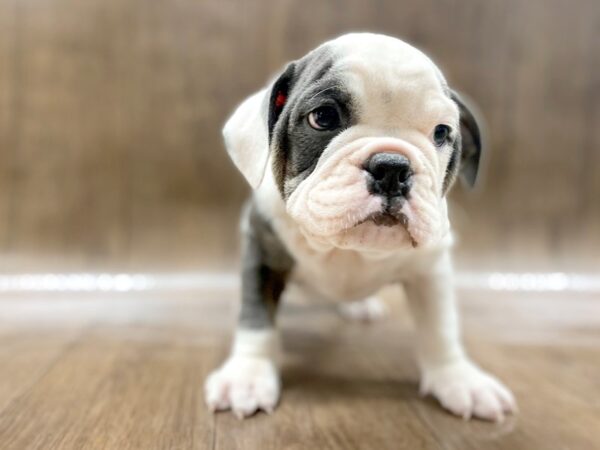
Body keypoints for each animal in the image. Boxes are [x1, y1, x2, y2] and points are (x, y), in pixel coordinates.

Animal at [206, 32, 516, 422]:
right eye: (322, 117)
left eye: (442, 132)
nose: (392, 167)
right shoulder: (263, 255)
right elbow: (256, 319)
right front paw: (247, 376)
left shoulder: (431, 270)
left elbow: (441, 326)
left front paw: (458, 378)